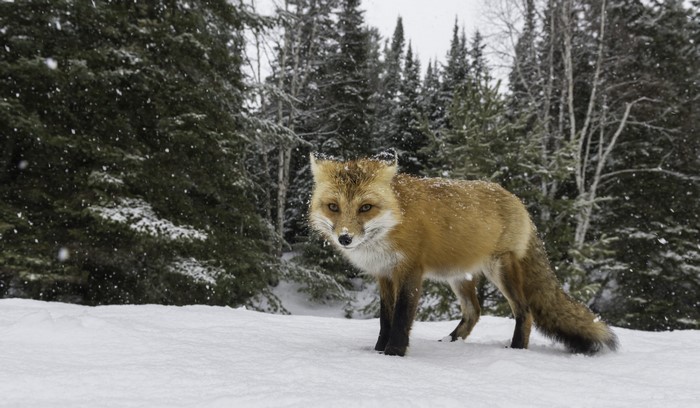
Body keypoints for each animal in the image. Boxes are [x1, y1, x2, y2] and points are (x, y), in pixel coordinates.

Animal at [308, 150, 618, 357]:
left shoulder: (410, 271)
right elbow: (385, 319)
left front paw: (394, 353)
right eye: (333, 207)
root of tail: (517, 201)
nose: (345, 238)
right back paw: (451, 342)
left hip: (499, 270)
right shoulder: (384, 275)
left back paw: (516, 351)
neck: (395, 221)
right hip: (459, 277)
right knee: (474, 312)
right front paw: (376, 352)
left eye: (365, 208)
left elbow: (401, 318)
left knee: (524, 311)